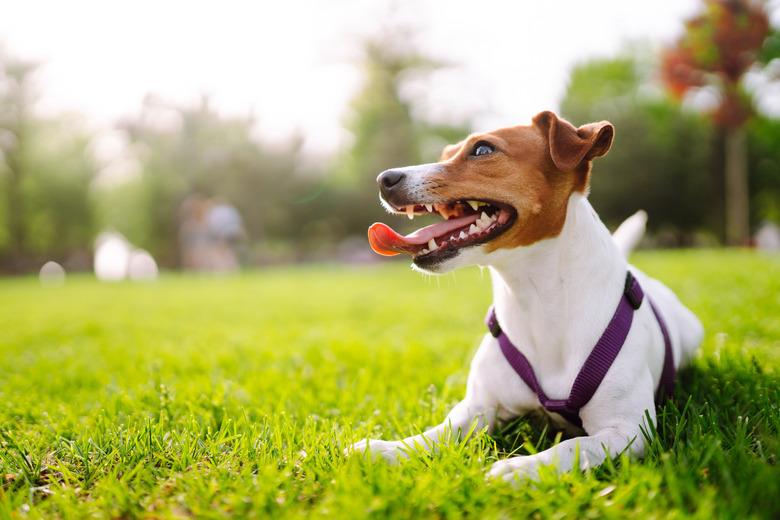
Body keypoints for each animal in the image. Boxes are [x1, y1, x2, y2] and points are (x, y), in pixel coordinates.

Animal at [346, 111, 700, 482]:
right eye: (445, 155)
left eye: (482, 149)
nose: (384, 179)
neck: (535, 300)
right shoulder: (478, 408)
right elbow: (435, 435)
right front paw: (387, 449)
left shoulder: (628, 431)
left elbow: (569, 447)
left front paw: (518, 468)